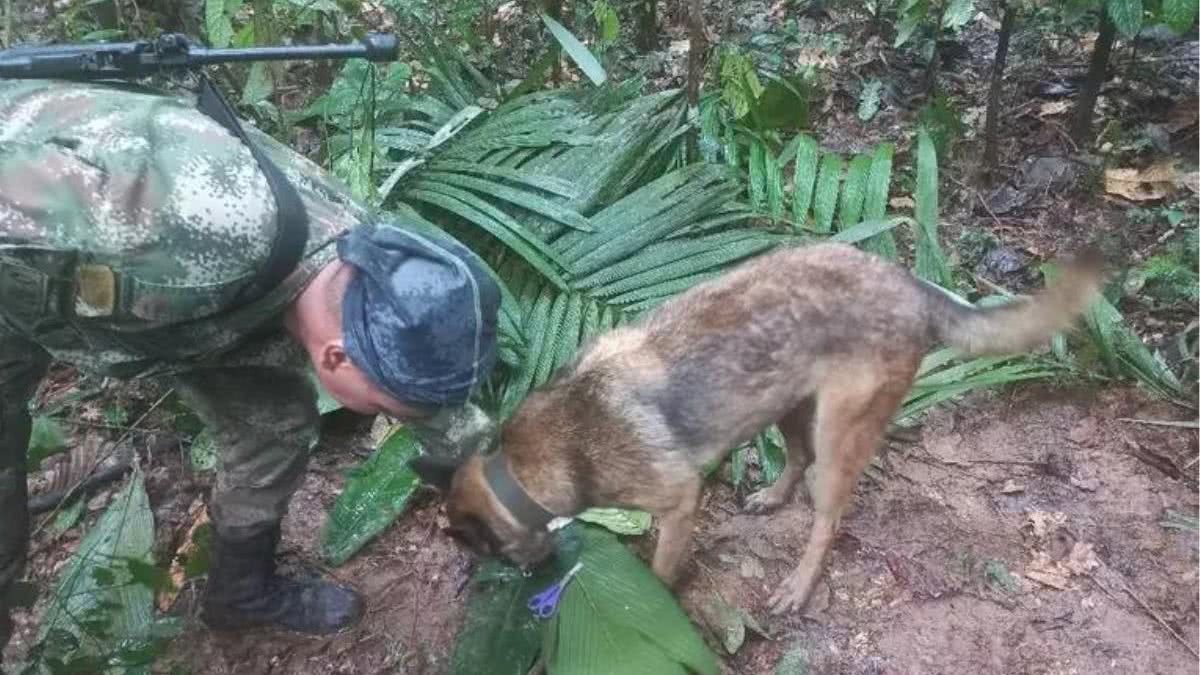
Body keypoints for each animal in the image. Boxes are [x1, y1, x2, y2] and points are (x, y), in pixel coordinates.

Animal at [415, 240, 1104, 610]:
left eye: (486, 552)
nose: (529, 580)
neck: (525, 467)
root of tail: (908, 282)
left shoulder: (678, 500)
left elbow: (661, 569)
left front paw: (656, 598)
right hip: (787, 404)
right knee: (795, 459)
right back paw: (772, 496)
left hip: (838, 431)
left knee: (827, 516)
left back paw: (799, 584)